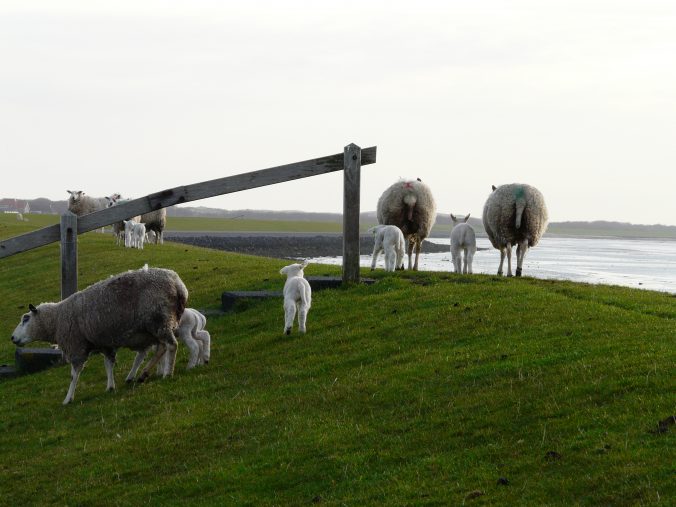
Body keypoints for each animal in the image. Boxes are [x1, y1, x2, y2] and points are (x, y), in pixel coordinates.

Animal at [10, 266, 189, 404]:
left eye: (25, 318)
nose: (12, 338)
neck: (57, 319)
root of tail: (179, 285)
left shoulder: (76, 346)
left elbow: (73, 375)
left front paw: (68, 398)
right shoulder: (104, 343)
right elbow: (108, 364)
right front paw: (110, 386)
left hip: (159, 319)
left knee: (171, 346)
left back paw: (167, 373)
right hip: (157, 324)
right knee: (160, 348)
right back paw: (143, 374)